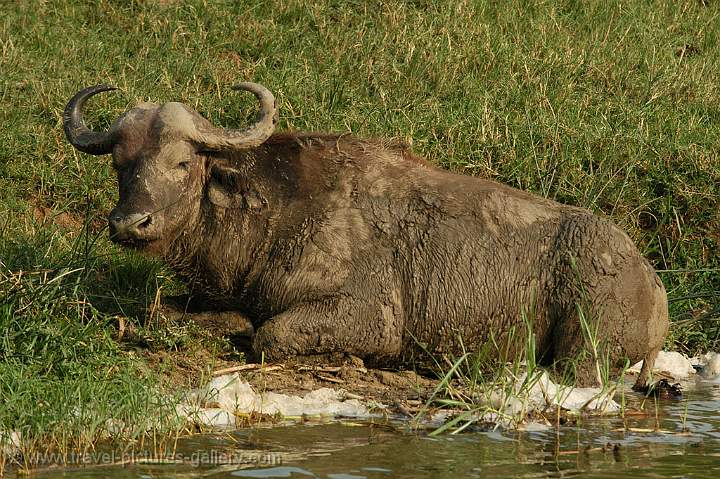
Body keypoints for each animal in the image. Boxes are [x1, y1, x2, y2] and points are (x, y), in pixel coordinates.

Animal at [63, 83, 668, 390]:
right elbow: (163, 310)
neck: (272, 215)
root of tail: (650, 280)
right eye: (119, 162)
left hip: (584, 349)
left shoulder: (367, 316)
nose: (130, 223)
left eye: (183, 161)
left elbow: (268, 335)